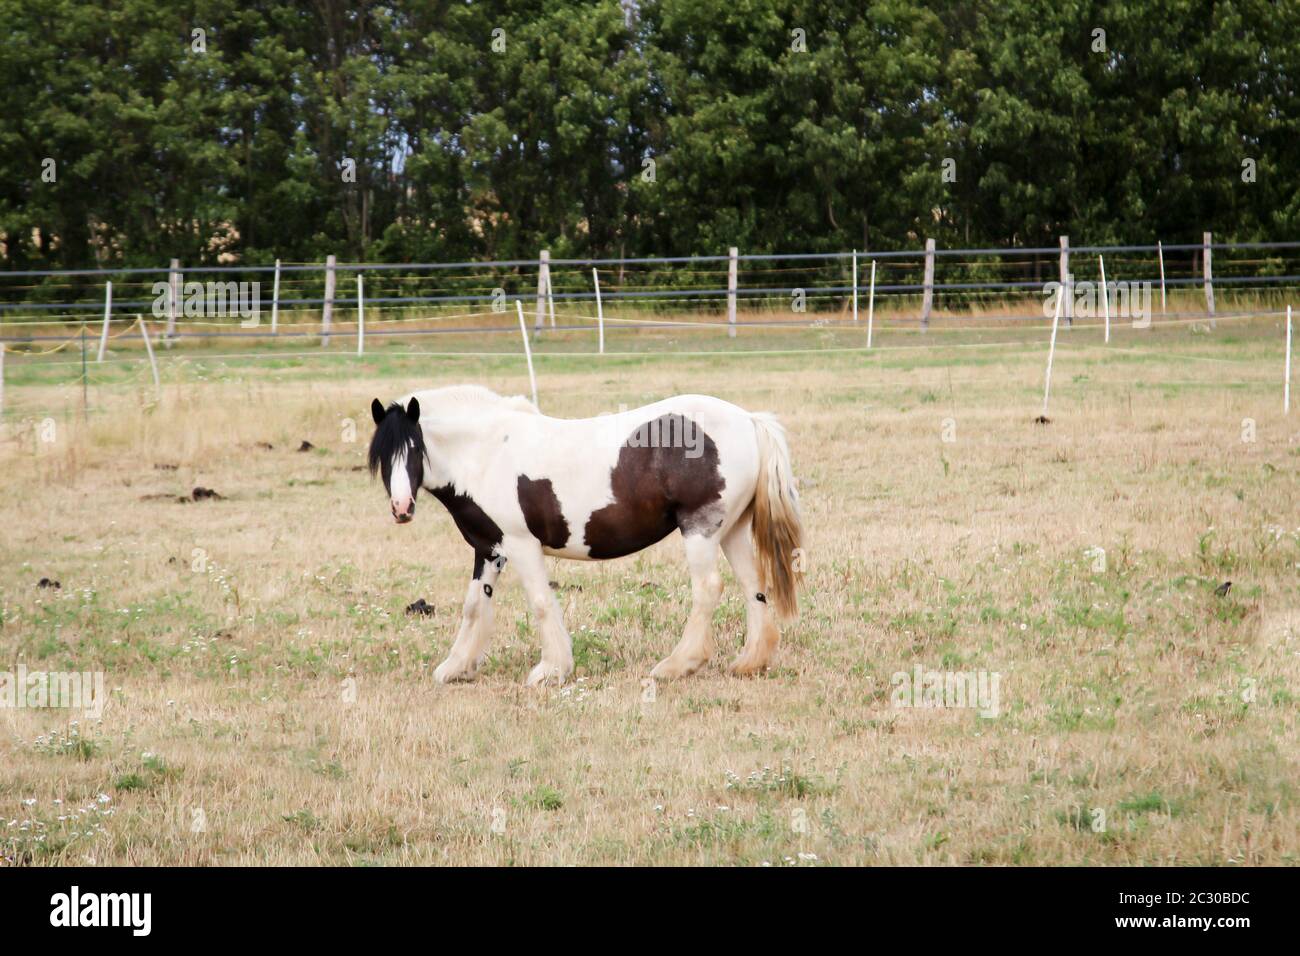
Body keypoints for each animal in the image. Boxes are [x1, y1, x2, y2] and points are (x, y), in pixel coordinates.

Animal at [366, 385, 800, 686]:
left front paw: (550, 670)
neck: (486, 453)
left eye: (415, 448)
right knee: (754, 587)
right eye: (383, 456)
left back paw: (676, 665)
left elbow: (541, 603)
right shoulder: (489, 549)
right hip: (731, 532)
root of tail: (748, 420)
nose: (401, 508)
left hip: (700, 530)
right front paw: (456, 668)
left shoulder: (521, 545)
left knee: (708, 589)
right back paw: (750, 662)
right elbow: (475, 606)